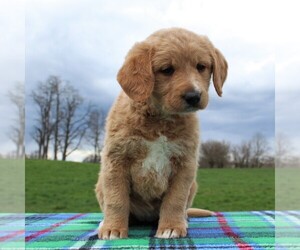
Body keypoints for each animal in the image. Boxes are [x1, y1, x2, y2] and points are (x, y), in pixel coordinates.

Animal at [95, 26, 227, 239]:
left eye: (201, 66)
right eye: (167, 70)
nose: (194, 96)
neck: (161, 120)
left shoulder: (184, 164)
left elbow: (175, 200)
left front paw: (171, 227)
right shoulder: (116, 160)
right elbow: (116, 199)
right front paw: (113, 229)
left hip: (193, 186)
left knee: (182, 208)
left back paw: (183, 220)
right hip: (100, 183)